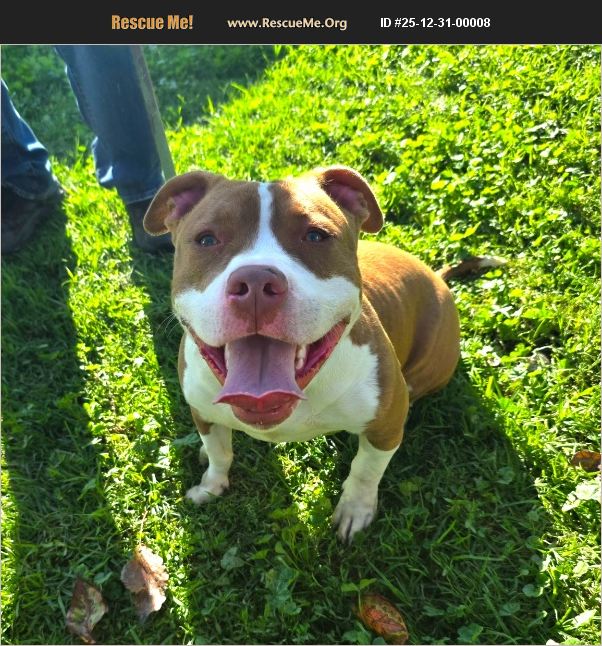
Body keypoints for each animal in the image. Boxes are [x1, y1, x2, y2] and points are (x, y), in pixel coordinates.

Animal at [143, 165, 460, 542]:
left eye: (315, 236)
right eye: (207, 239)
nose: (255, 283)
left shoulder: (386, 423)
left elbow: (365, 470)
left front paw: (355, 510)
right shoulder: (202, 411)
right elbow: (220, 452)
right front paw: (211, 484)